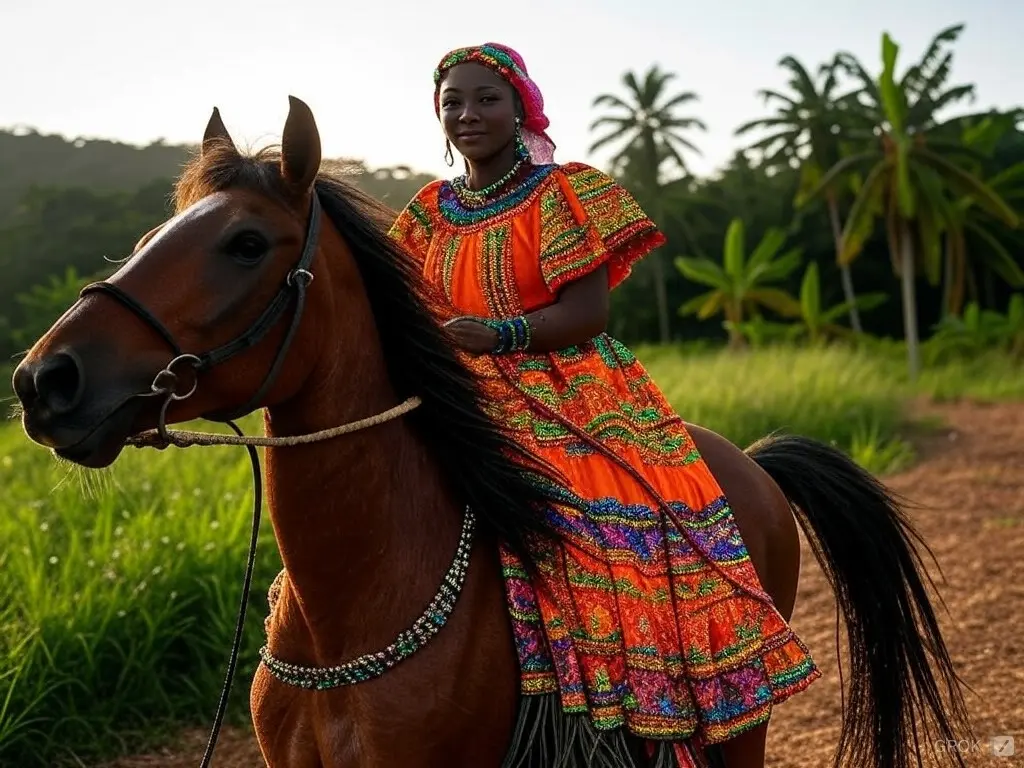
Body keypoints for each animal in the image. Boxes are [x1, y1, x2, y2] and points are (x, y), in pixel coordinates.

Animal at [9, 97, 966, 768]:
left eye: (246, 243)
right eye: (149, 235)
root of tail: (753, 461)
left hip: (740, 733)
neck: (351, 612)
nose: (46, 381)